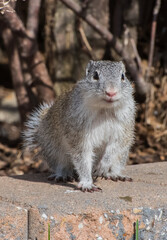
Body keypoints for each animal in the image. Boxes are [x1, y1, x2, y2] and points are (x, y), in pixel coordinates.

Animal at [23, 61, 136, 192]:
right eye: (95, 76)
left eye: (123, 76)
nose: (111, 92)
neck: (104, 109)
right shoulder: (78, 133)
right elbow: (83, 158)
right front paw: (87, 183)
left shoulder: (124, 129)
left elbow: (115, 147)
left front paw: (104, 165)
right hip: (53, 148)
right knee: (61, 164)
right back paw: (62, 174)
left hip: (123, 155)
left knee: (116, 161)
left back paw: (113, 174)